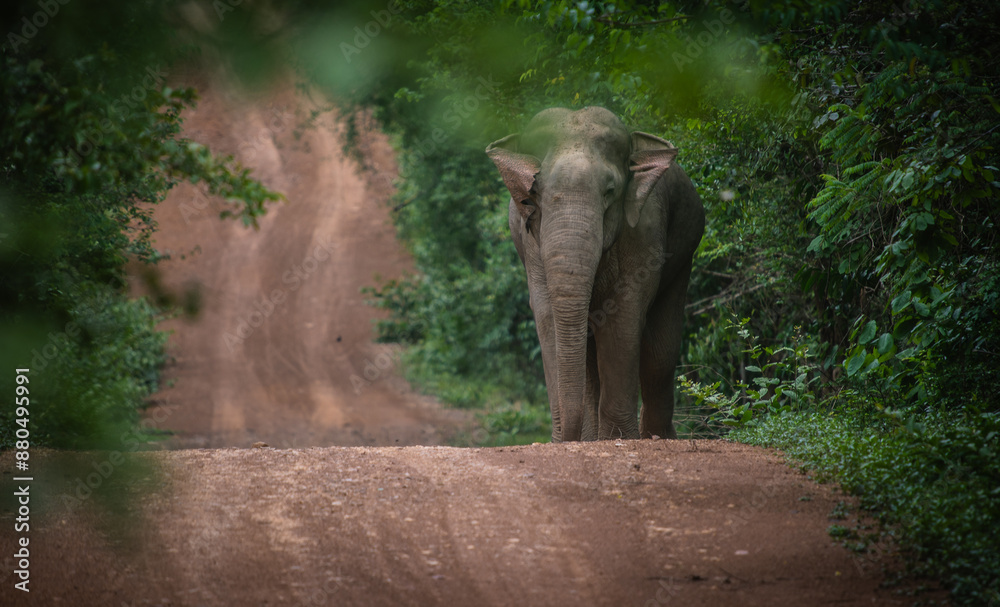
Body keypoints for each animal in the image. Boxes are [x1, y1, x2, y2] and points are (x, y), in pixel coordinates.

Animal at [486, 106, 705, 441]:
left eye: (610, 191)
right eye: (533, 193)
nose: (562, 438)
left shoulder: (644, 232)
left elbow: (623, 318)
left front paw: (619, 440)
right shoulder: (530, 242)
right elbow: (547, 316)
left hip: (685, 253)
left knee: (659, 355)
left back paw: (656, 437)